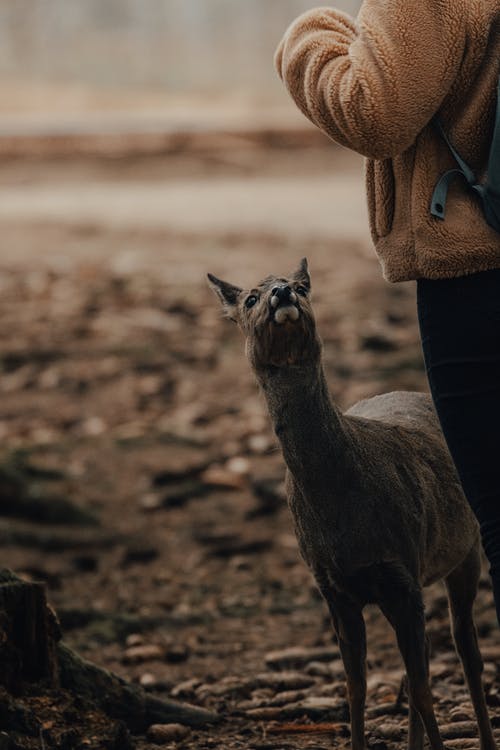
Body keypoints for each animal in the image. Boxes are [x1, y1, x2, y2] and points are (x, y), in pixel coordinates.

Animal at [207, 260, 496, 750]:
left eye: (303, 286)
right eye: (249, 298)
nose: (282, 292)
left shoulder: (401, 570)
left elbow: (423, 686)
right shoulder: (334, 587)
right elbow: (355, 687)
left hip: (465, 549)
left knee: (466, 651)